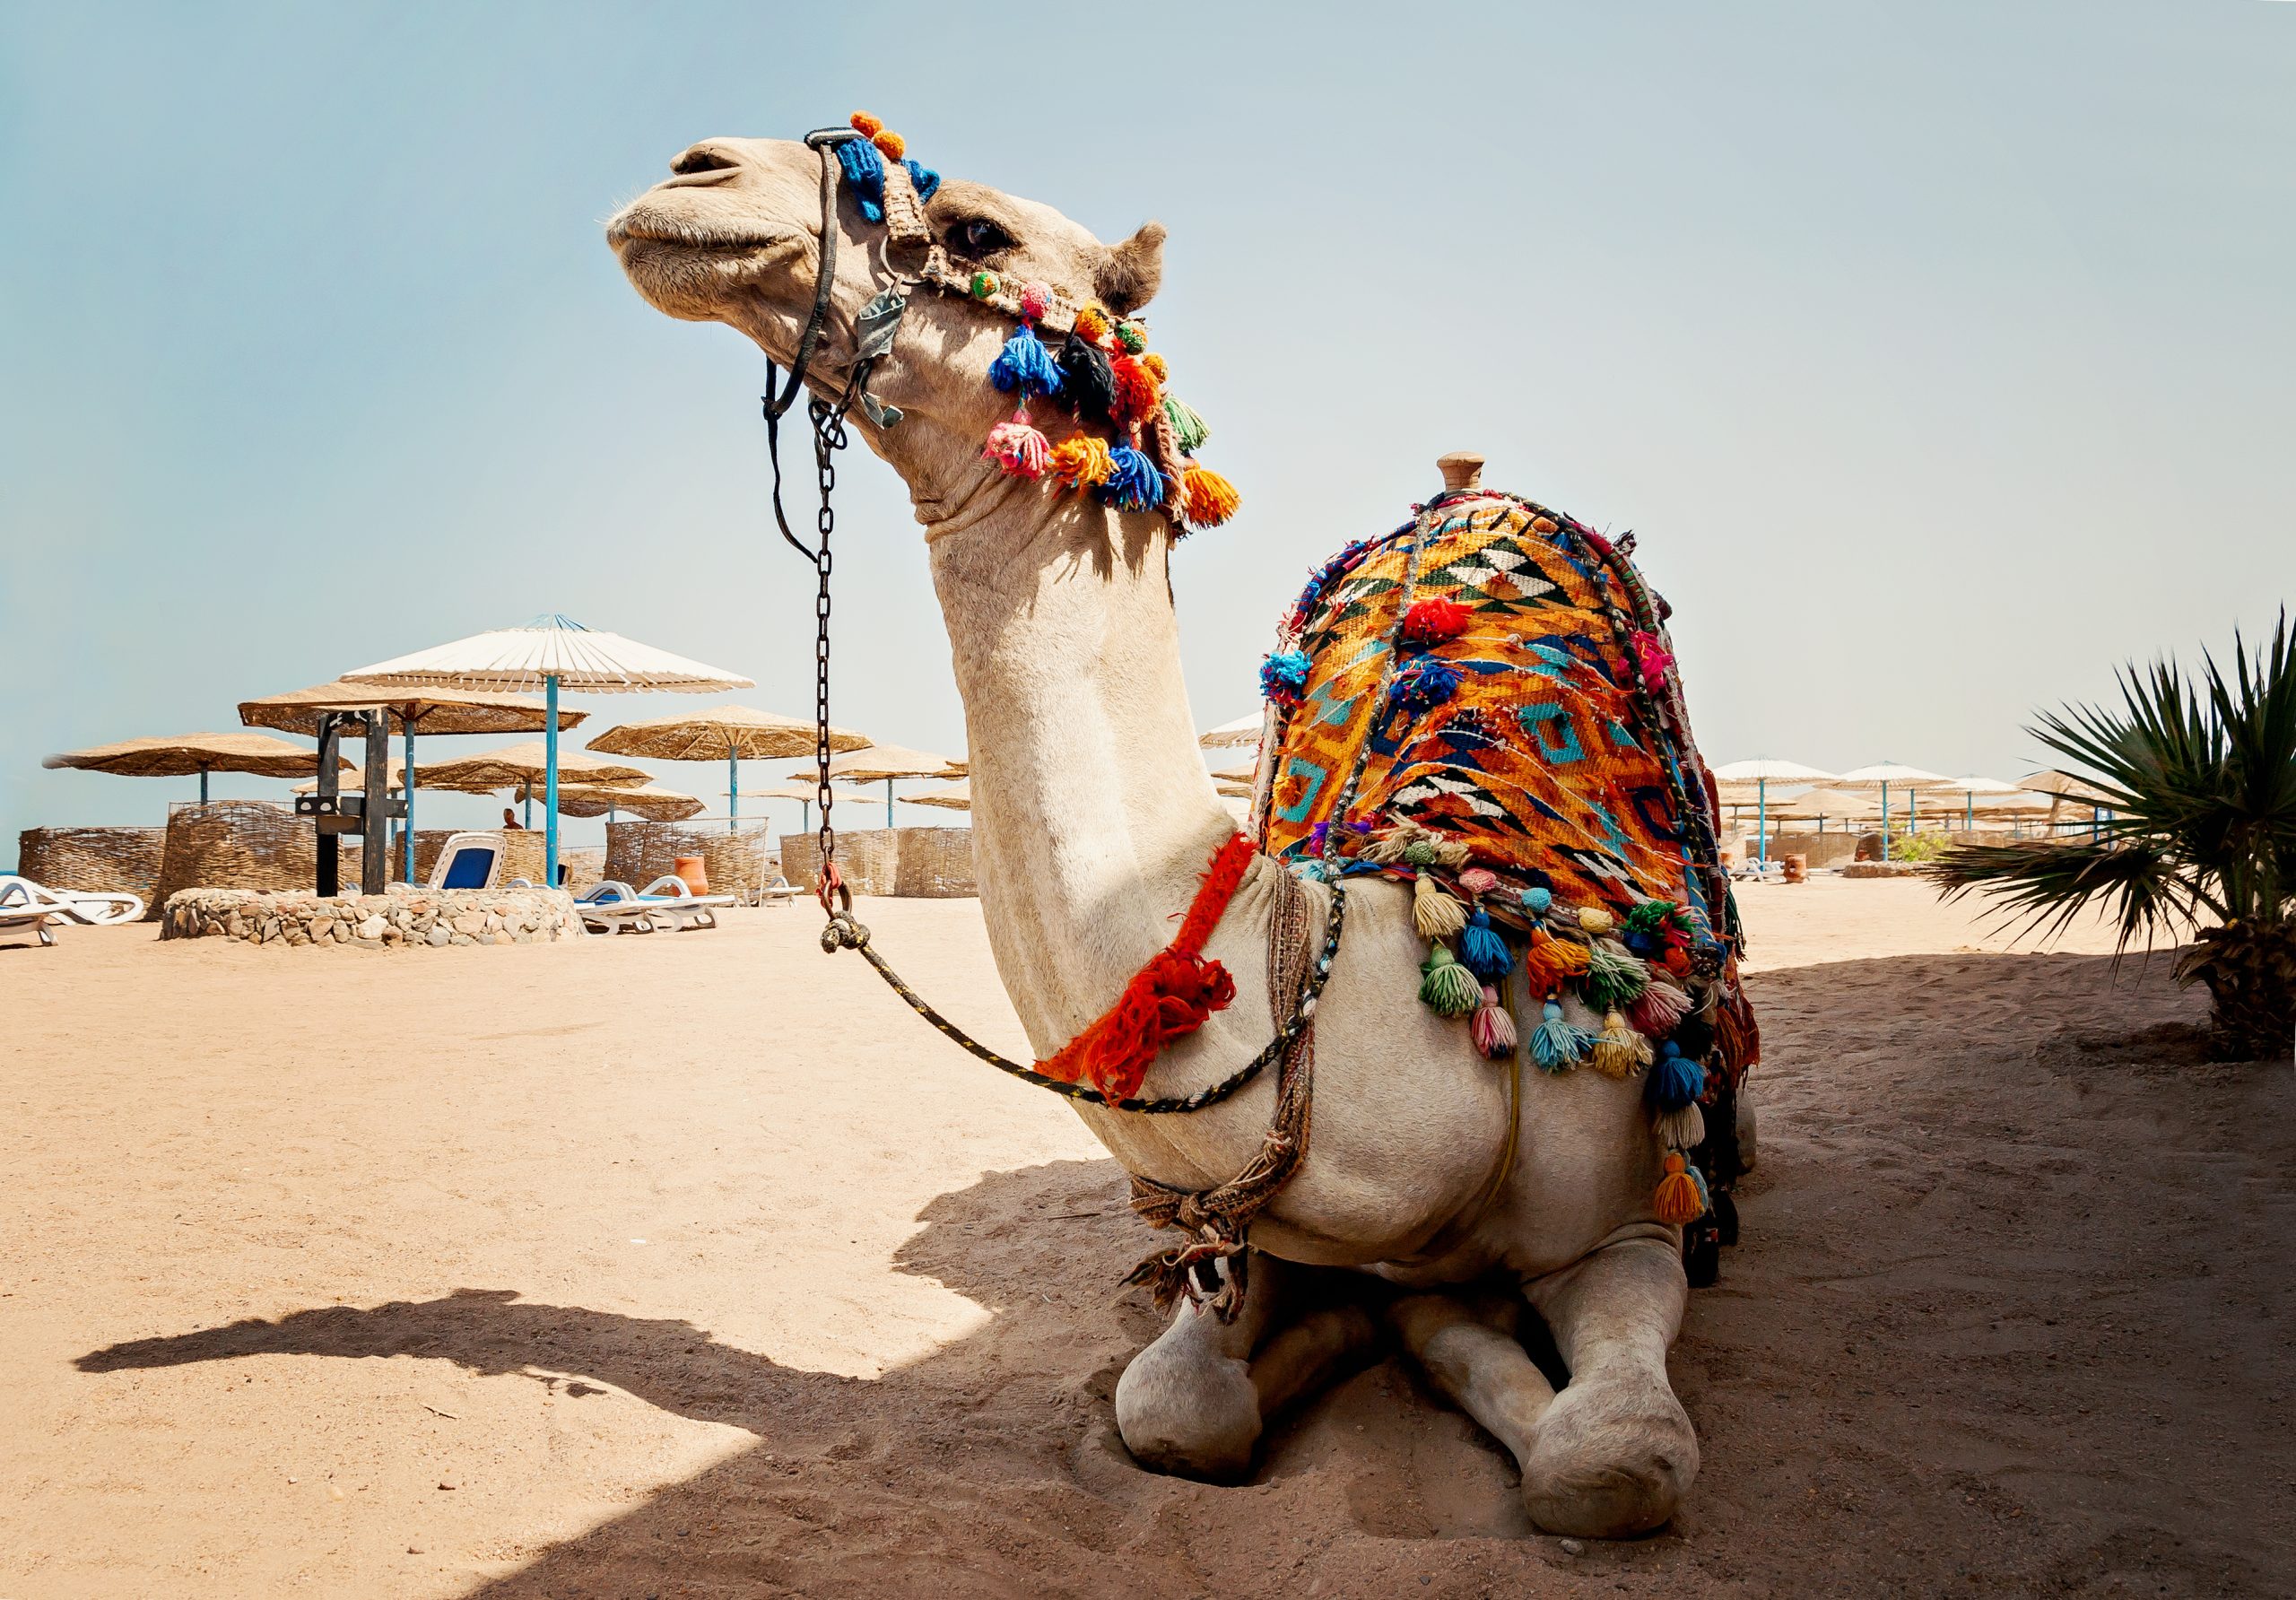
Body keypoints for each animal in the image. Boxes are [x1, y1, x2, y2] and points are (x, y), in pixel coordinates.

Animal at [607, 126, 1717, 1537]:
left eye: (977, 232)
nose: (694, 175)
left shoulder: (1628, 1227)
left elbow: (1610, 1459)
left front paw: (1469, 1348)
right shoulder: (1265, 1234)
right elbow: (1175, 1407)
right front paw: (1387, 1329)